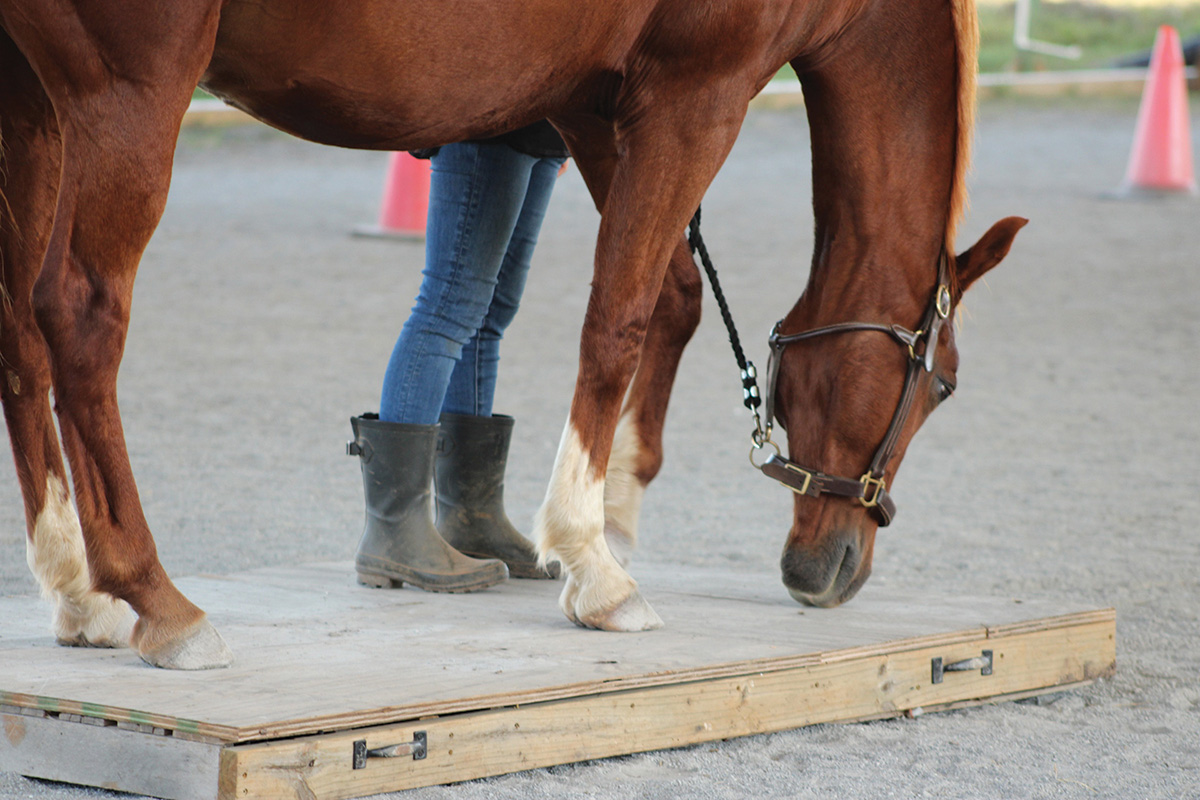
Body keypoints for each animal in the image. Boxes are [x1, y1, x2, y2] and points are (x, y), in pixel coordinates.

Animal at [0, 0, 1024, 669]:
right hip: (128, 88)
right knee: (81, 316)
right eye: (942, 386)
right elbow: (620, 314)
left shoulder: (588, 103)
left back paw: (76, 590)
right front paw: (598, 567)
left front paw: (613, 516)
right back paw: (154, 598)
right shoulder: (699, 90)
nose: (833, 569)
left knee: (20, 329)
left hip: (30, 99)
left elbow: (673, 295)